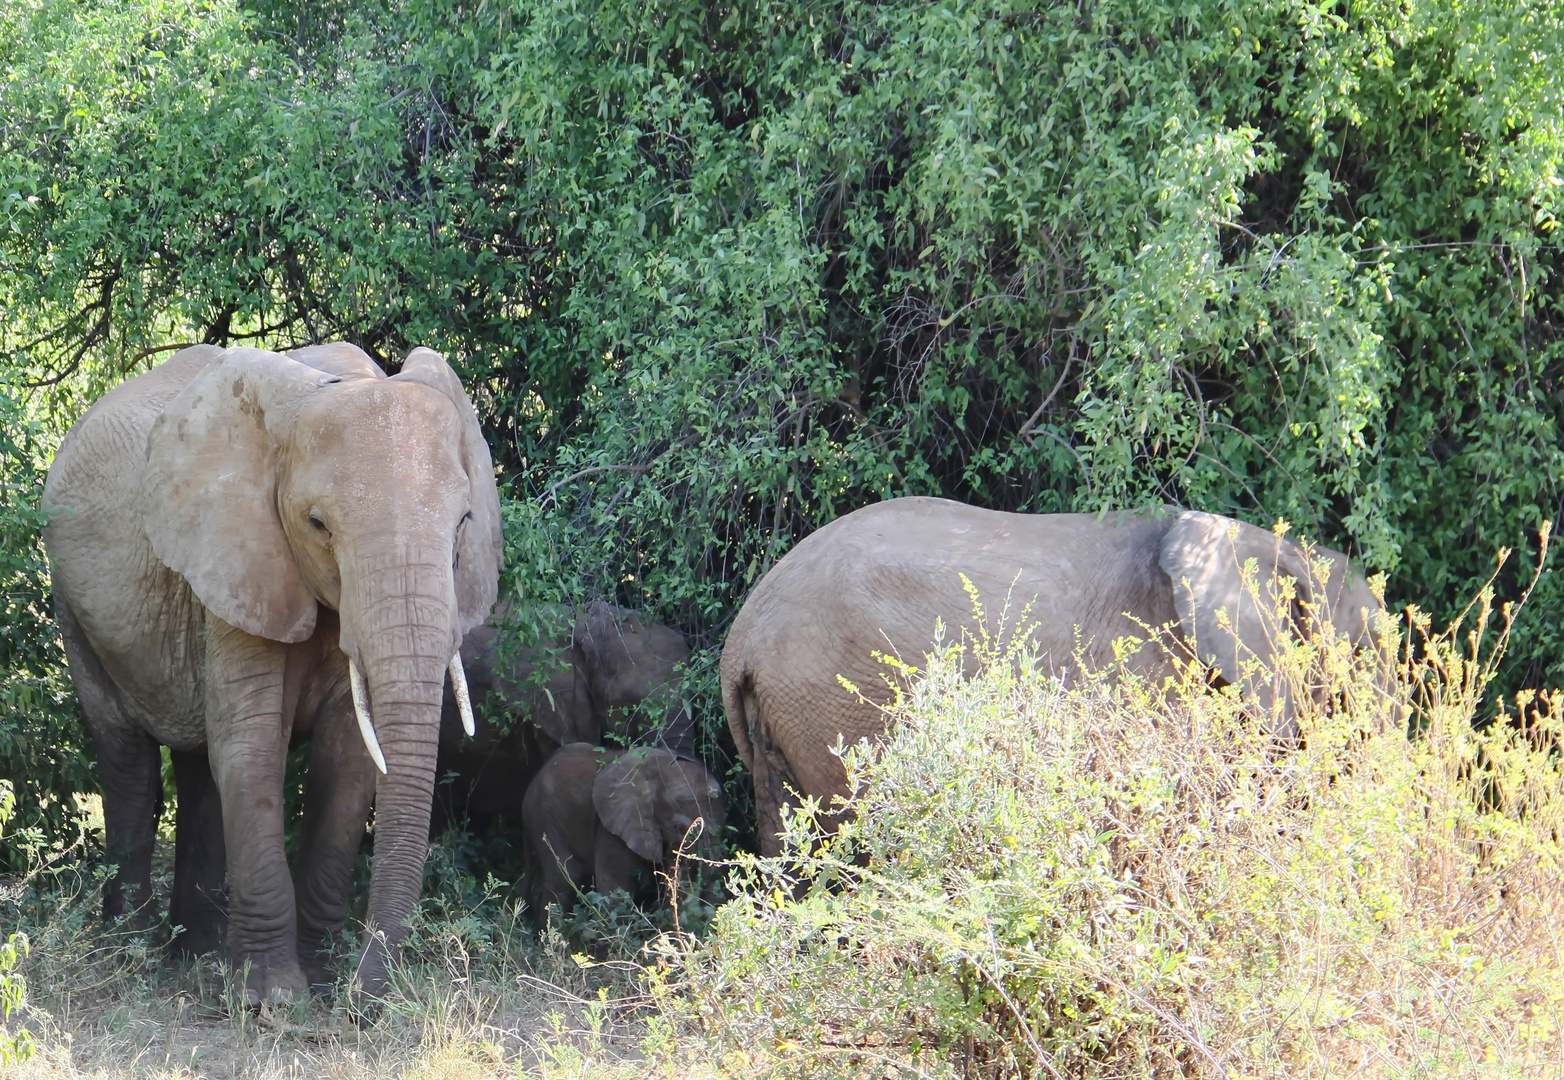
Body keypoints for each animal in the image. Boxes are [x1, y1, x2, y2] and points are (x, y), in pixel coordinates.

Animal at [44, 343, 500, 1006]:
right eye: (317, 524)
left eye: (465, 521)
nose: (363, 1005)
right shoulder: (238, 557)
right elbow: (254, 746)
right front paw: (273, 1000)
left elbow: (348, 761)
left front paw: (321, 979)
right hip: (71, 600)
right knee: (127, 756)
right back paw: (131, 951)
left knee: (198, 764)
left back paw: (197, 952)